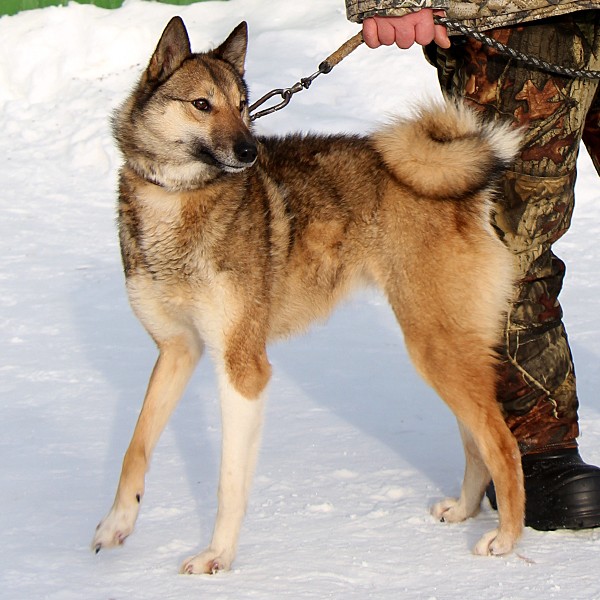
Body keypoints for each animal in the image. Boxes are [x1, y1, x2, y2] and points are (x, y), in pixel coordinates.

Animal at [92, 16, 525, 574]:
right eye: (202, 104)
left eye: (242, 103)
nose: (249, 151)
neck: (178, 199)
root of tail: (466, 189)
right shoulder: (176, 350)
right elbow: (136, 447)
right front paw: (116, 524)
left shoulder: (243, 367)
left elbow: (229, 482)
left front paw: (217, 555)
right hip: (444, 349)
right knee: (476, 443)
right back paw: (466, 509)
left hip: (436, 346)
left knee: (502, 444)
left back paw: (507, 538)